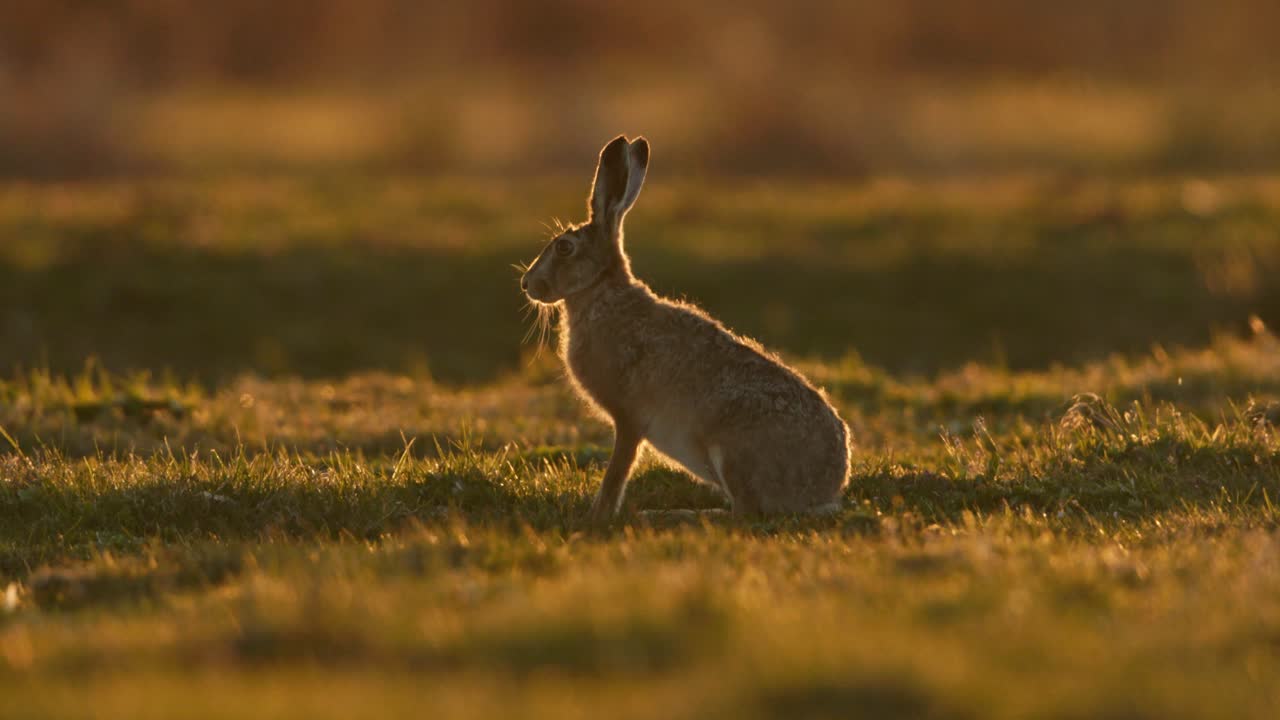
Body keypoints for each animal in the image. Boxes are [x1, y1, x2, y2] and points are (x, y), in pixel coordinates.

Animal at [520, 135, 851, 527]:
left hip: (731, 451)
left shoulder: (630, 419)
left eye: (564, 247)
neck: (601, 293)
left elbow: (618, 470)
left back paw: (671, 514)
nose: (527, 284)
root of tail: (825, 485)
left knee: (745, 513)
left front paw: (597, 515)